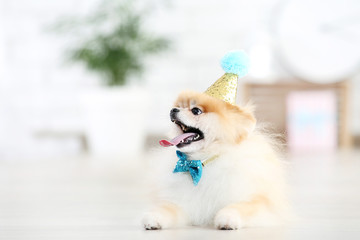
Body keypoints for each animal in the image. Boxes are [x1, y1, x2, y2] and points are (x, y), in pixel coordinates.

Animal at [142, 90, 292, 231]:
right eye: (179, 106)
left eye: (195, 110)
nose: (173, 110)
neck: (203, 162)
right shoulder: (184, 203)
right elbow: (167, 208)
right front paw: (154, 217)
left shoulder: (261, 204)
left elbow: (240, 207)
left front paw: (228, 218)